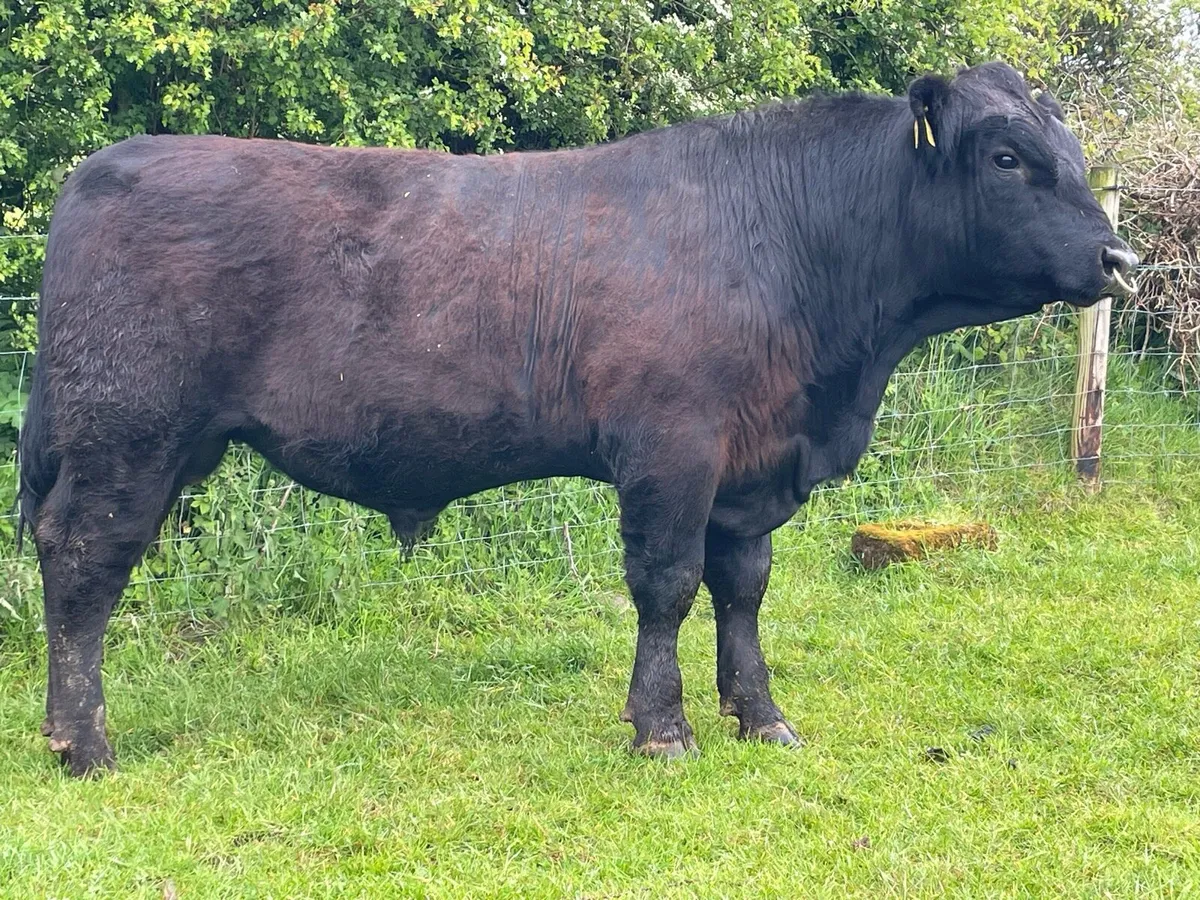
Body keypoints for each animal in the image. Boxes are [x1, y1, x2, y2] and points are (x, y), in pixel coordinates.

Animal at [19, 61, 1137, 776]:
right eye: (1005, 157)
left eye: (1070, 147)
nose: (1122, 258)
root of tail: (102, 167)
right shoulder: (671, 450)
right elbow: (667, 587)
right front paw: (663, 731)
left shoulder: (748, 470)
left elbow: (743, 590)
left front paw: (761, 717)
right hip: (128, 434)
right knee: (82, 565)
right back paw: (84, 745)